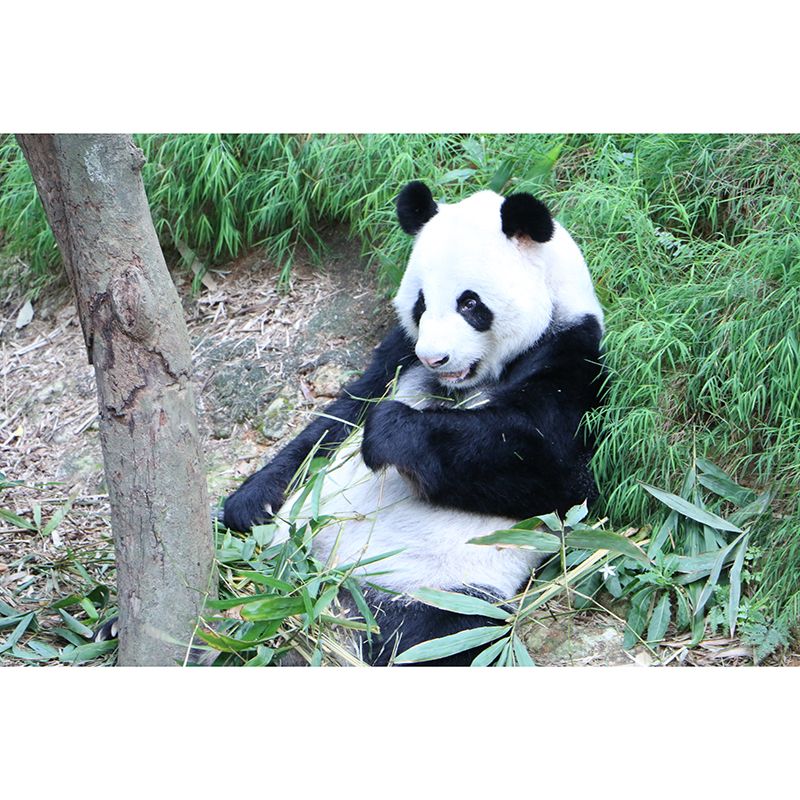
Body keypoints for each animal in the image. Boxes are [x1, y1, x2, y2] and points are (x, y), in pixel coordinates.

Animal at [221, 181, 605, 666]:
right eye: (421, 303)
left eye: (470, 303)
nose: (434, 358)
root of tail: (326, 588)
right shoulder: (399, 353)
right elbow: (336, 419)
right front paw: (251, 501)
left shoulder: (572, 357)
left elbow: (554, 472)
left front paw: (391, 432)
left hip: (441, 586)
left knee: (436, 634)